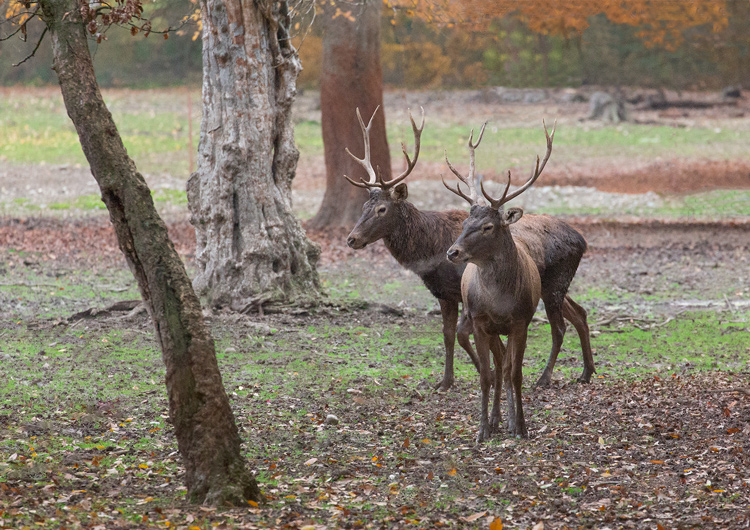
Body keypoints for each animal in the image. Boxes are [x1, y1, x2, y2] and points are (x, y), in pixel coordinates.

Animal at [344, 106, 596, 388]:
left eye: (382, 209)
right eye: (364, 206)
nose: (352, 239)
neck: (430, 253)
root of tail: (582, 240)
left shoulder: (465, 293)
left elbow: (464, 335)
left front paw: (486, 374)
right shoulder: (445, 294)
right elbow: (448, 335)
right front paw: (446, 381)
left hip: (555, 284)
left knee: (560, 327)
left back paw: (545, 377)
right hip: (551, 285)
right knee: (580, 313)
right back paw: (587, 372)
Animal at [446, 121, 560, 440]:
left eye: (487, 226)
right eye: (464, 223)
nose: (452, 251)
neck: (499, 302)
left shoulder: (521, 320)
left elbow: (516, 373)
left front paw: (520, 425)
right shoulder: (480, 321)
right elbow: (486, 375)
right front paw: (482, 429)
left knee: (506, 366)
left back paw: (507, 419)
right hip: (489, 328)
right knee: (498, 365)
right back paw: (497, 418)